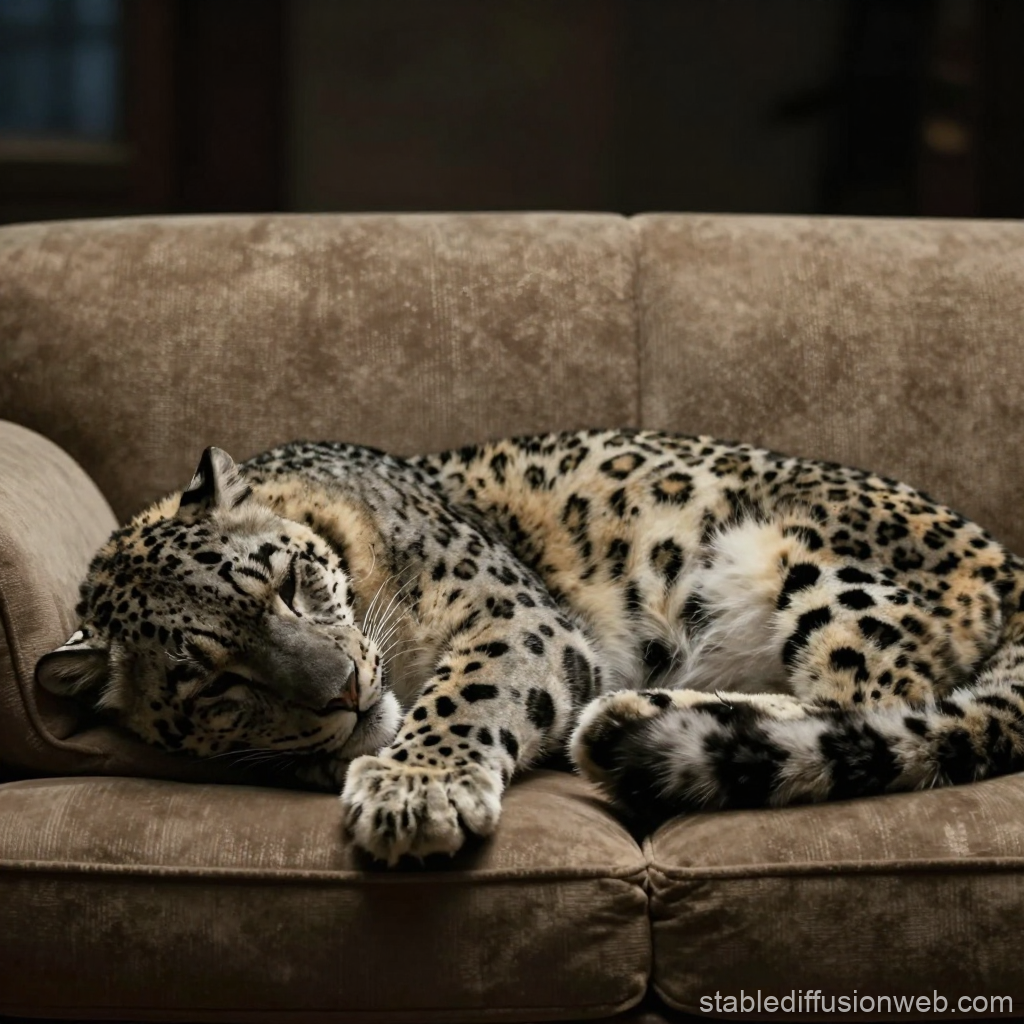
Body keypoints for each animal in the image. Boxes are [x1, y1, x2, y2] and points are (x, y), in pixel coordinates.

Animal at [36, 429, 1024, 864]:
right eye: (212, 683)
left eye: (287, 580)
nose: (343, 690)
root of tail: (1007, 556)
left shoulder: (512, 615)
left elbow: (468, 693)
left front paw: (415, 794)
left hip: (818, 569)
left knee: (872, 699)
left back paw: (625, 718)